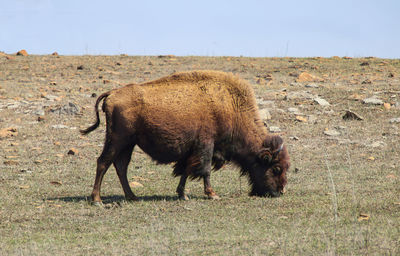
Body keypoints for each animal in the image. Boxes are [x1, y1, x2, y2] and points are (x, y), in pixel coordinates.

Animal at [79, 69, 290, 202]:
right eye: (276, 168)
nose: (278, 192)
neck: (230, 106)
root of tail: (112, 93)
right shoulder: (206, 145)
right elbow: (204, 170)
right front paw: (212, 194)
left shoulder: (193, 150)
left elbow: (185, 170)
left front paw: (182, 194)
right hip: (117, 139)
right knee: (103, 162)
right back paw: (97, 199)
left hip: (128, 144)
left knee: (121, 166)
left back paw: (132, 197)